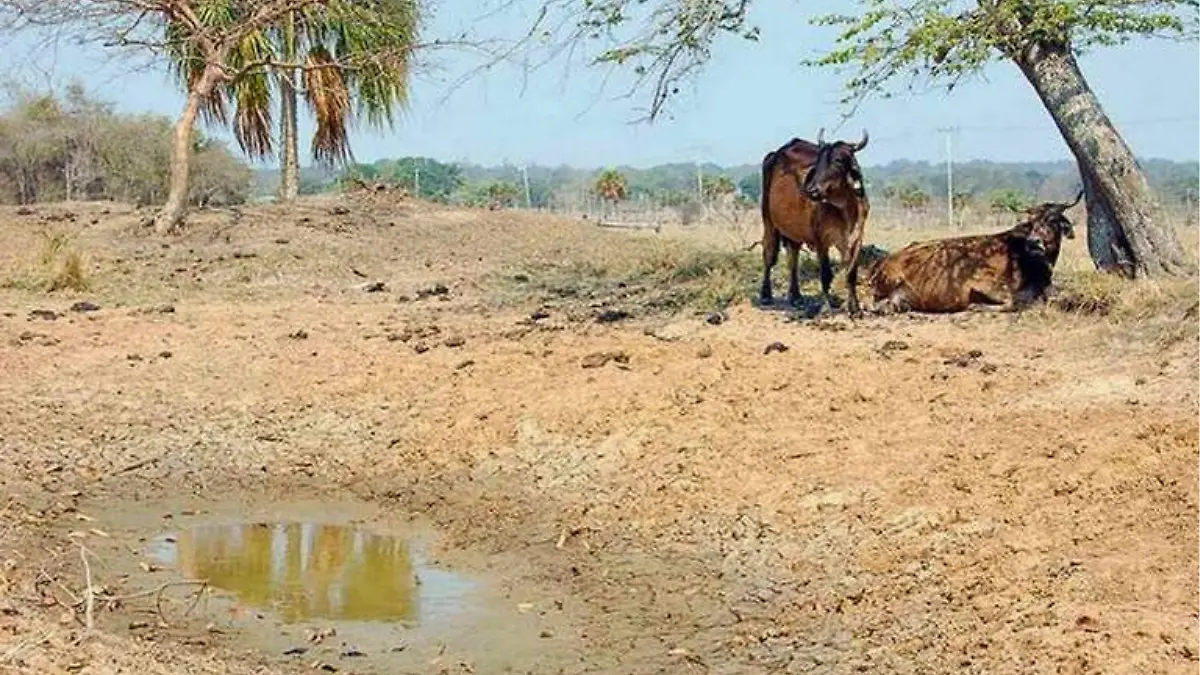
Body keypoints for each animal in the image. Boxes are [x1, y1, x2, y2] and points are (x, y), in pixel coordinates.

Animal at [758, 128, 873, 314]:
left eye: (838, 160)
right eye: (819, 160)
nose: (812, 190)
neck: (845, 208)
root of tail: (775, 154)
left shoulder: (856, 238)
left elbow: (851, 273)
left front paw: (855, 308)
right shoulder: (821, 239)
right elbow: (825, 274)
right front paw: (826, 306)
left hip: (794, 232)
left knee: (793, 258)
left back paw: (796, 297)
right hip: (769, 222)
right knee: (769, 255)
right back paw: (766, 295)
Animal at [868, 189, 1084, 312]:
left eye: (1052, 219)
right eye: (1031, 222)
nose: (1034, 242)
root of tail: (884, 262)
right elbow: (1013, 302)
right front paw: (976, 306)